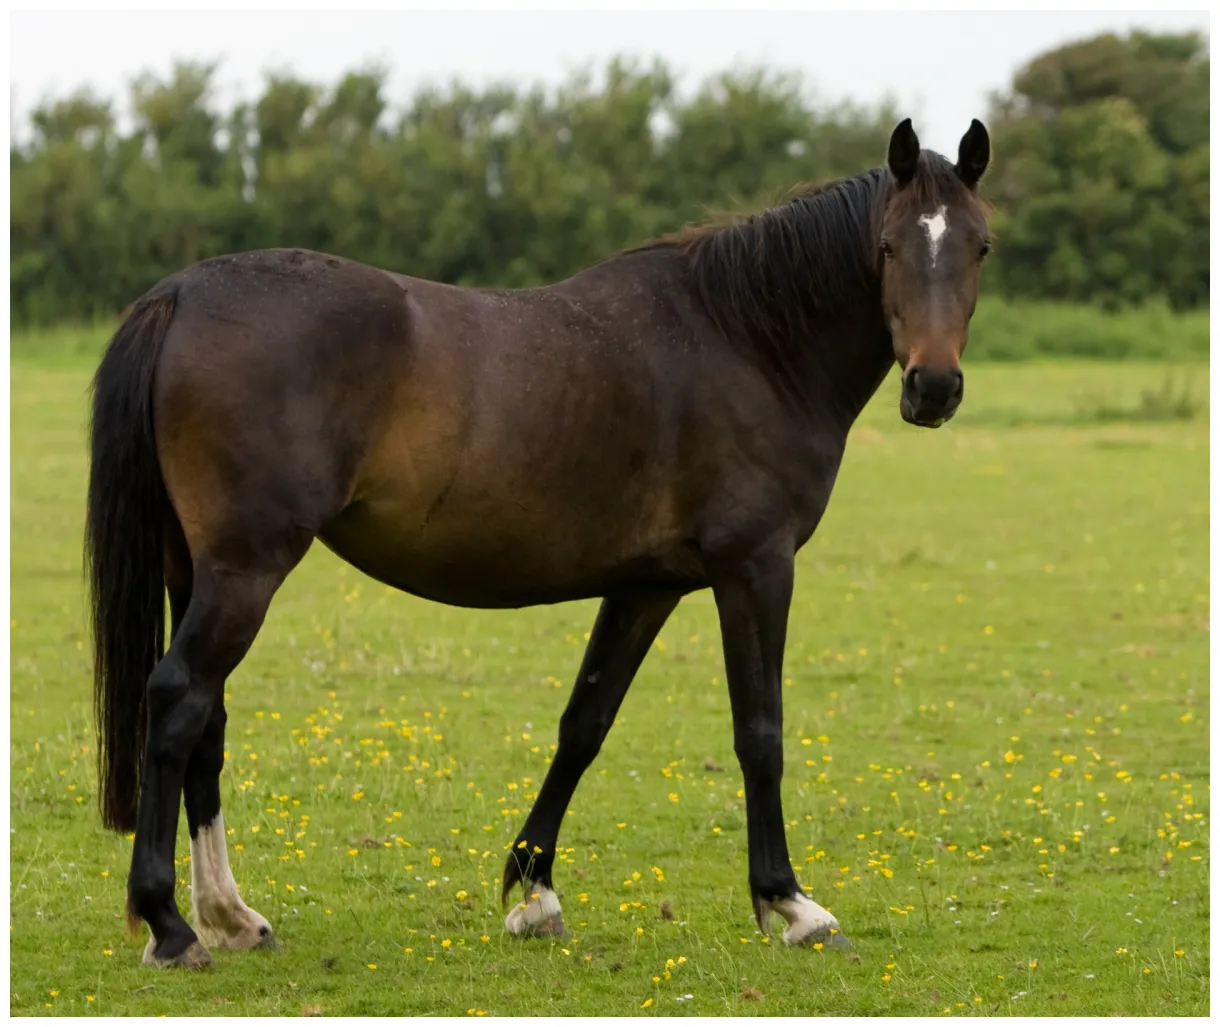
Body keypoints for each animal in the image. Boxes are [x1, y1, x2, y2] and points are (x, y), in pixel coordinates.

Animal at [86, 117, 991, 968]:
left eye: (979, 245)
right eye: (888, 246)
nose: (933, 387)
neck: (749, 339)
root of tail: (183, 292)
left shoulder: (646, 585)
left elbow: (584, 723)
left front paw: (534, 889)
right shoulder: (756, 567)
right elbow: (759, 733)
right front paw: (791, 904)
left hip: (200, 570)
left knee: (207, 718)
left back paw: (230, 915)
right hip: (246, 570)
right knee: (178, 698)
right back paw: (171, 924)